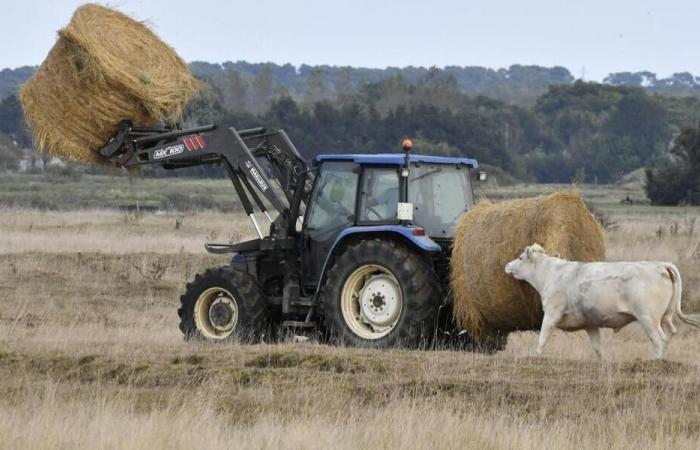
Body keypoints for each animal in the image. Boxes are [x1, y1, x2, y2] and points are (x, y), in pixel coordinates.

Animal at [504, 243, 700, 358]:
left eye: (520, 258)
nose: (507, 265)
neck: (551, 273)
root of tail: (661, 265)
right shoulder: (591, 324)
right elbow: (598, 348)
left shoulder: (552, 314)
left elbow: (543, 338)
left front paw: (535, 354)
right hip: (666, 317)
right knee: (670, 333)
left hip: (648, 319)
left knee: (659, 340)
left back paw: (656, 361)